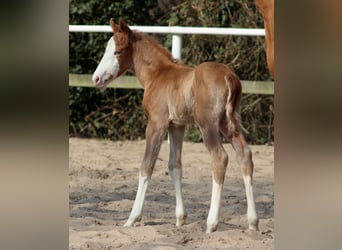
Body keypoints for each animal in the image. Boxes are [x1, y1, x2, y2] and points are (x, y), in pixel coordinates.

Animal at [92, 18, 258, 233]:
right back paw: (253, 222)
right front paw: (180, 218)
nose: (96, 79)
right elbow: (174, 166)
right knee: (244, 155)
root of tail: (229, 76)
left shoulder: (156, 123)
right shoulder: (176, 126)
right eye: (107, 49)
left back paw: (211, 223)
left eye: (118, 52)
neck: (158, 74)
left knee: (219, 158)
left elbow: (147, 165)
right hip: (229, 123)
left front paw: (132, 218)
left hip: (208, 124)